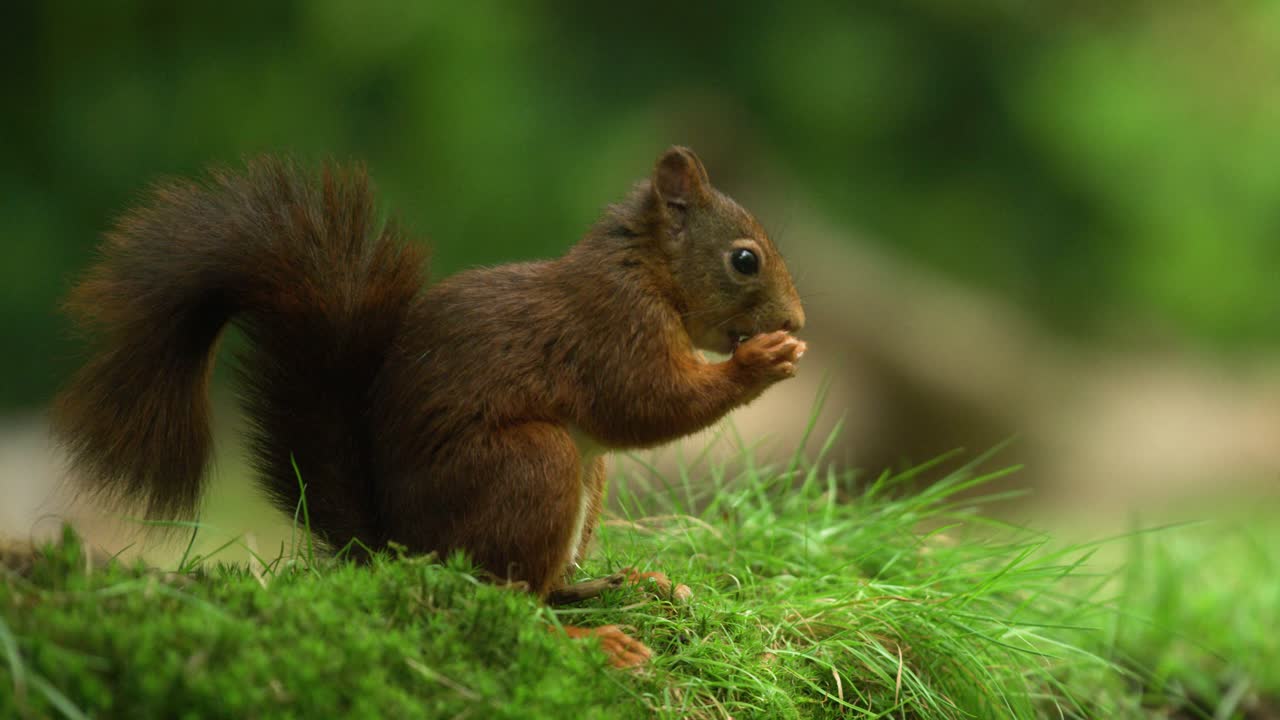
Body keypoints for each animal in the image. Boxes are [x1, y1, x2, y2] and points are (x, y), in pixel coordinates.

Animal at [51, 146, 806, 666]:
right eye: (745, 259)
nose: (796, 322)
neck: (646, 270)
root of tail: (398, 546)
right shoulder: (612, 328)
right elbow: (647, 405)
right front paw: (760, 362)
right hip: (531, 466)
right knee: (510, 601)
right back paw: (594, 641)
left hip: (583, 480)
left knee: (543, 588)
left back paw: (635, 584)